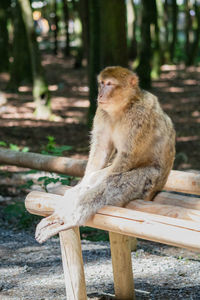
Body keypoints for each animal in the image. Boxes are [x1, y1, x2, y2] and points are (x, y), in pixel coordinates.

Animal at [35, 66, 176, 244]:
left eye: (109, 84)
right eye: (101, 83)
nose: (100, 94)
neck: (124, 107)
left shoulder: (139, 116)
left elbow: (126, 157)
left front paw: (92, 181)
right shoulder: (101, 111)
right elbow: (101, 150)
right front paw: (83, 183)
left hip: (149, 181)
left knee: (110, 185)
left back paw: (68, 220)